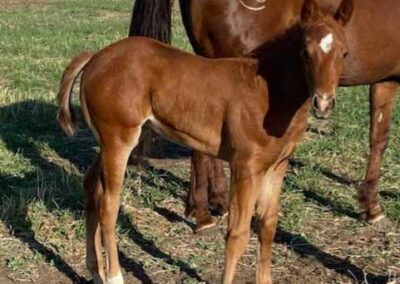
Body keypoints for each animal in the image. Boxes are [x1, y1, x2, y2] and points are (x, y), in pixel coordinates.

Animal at [57, 2, 348, 284]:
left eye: (344, 53)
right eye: (305, 52)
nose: (323, 103)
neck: (269, 92)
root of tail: (96, 57)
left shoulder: (277, 166)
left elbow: (268, 226)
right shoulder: (245, 167)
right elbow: (237, 235)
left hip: (107, 142)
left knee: (91, 188)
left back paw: (96, 272)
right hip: (119, 140)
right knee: (108, 206)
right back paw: (114, 276)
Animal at [130, 0, 400, 231]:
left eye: (345, 53)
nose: (324, 103)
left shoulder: (385, 80)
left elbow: (379, 137)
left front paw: (370, 204)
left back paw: (213, 201)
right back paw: (202, 213)